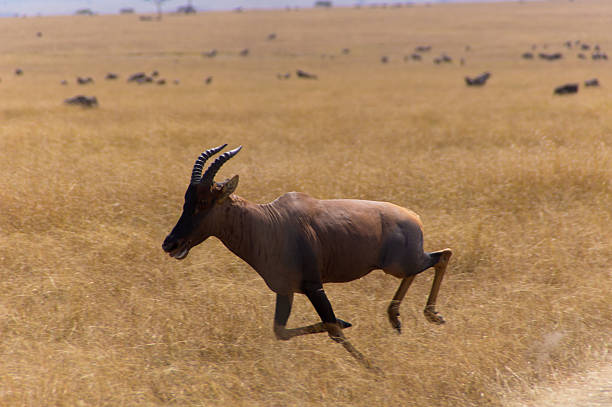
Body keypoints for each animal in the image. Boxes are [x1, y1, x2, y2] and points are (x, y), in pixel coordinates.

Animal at [160, 145, 452, 368]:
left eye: (204, 202)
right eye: (186, 200)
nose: (170, 244)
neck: (269, 223)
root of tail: (413, 217)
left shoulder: (314, 285)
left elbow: (333, 327)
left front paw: (373, 367)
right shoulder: (285, 289)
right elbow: (282, 331)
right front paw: (349, 325)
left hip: (399, 263)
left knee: (442, 256)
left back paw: (430, 315)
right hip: (399, 265)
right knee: (431, 262)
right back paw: (396, 318)